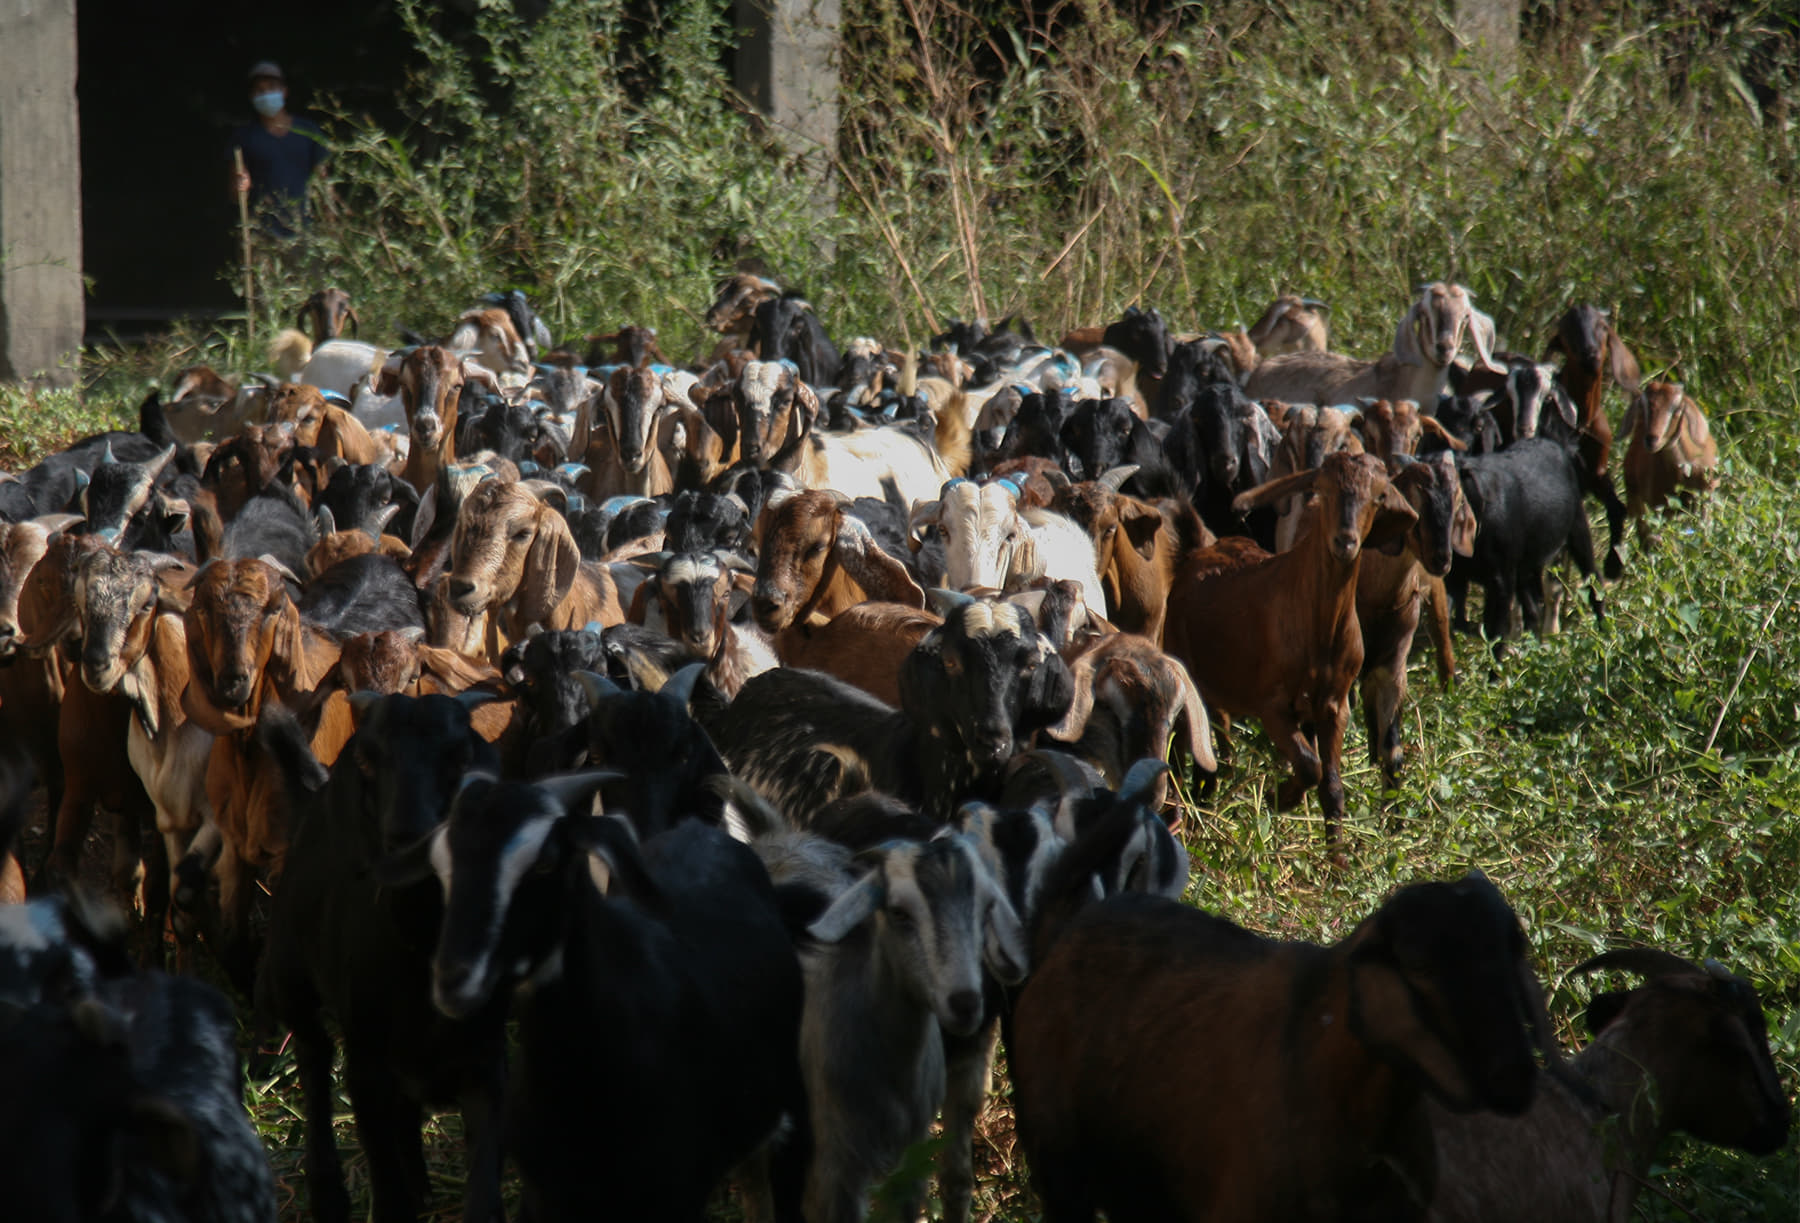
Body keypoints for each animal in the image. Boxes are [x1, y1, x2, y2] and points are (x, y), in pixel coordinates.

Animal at [1166, 452, 1418, 850]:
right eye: (1323, 490)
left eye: (1378, 497)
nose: (1345, 541)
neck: (1318, 630)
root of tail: (1194, 554)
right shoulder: (1272, 706)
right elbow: (1308, 764)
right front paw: (1278, 797)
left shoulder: (1334, 707)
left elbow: (1332, 786)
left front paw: (1338, 860)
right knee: (1176, 749)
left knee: (1215, 741)